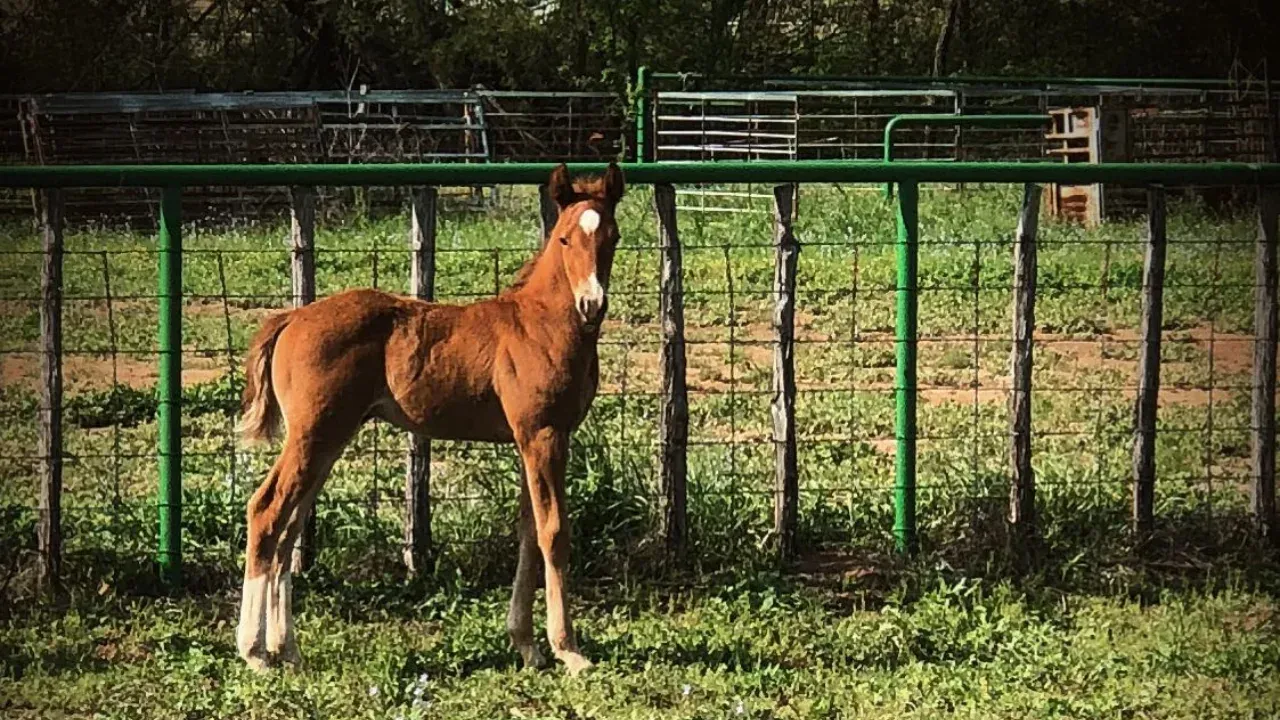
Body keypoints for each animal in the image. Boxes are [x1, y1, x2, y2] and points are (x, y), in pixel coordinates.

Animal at [235, 163, 624, 675]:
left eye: (613, 236)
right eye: (563, 238)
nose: (592, 304)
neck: (540, 325)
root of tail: (291, 319)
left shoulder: (531, 440)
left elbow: (528, 533)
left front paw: (526, 645)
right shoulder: (543, 436)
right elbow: (554, 532)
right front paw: (569, 649)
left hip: (330, 437)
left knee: (290, 526)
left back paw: (288, 650)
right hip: (312, 433)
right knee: (266, 510)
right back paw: (255, 652)